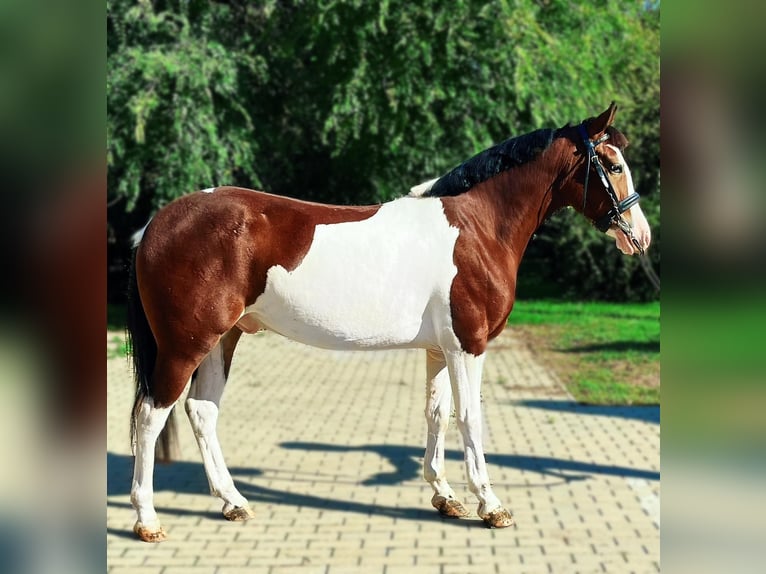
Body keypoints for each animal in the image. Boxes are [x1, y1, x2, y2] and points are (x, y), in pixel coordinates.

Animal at [127, 104, 656, 544]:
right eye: (612, 165)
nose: (641, 236)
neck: (477, 227)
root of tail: (155, 225)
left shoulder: (439, 349)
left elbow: (437, 414)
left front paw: (446, 496)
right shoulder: (468, 346)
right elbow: (470, 418)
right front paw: (491, 505)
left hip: (224, 339)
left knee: (201, 411)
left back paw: (233, 502)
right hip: (185, 345)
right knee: (151, 417)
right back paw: (148, 520)